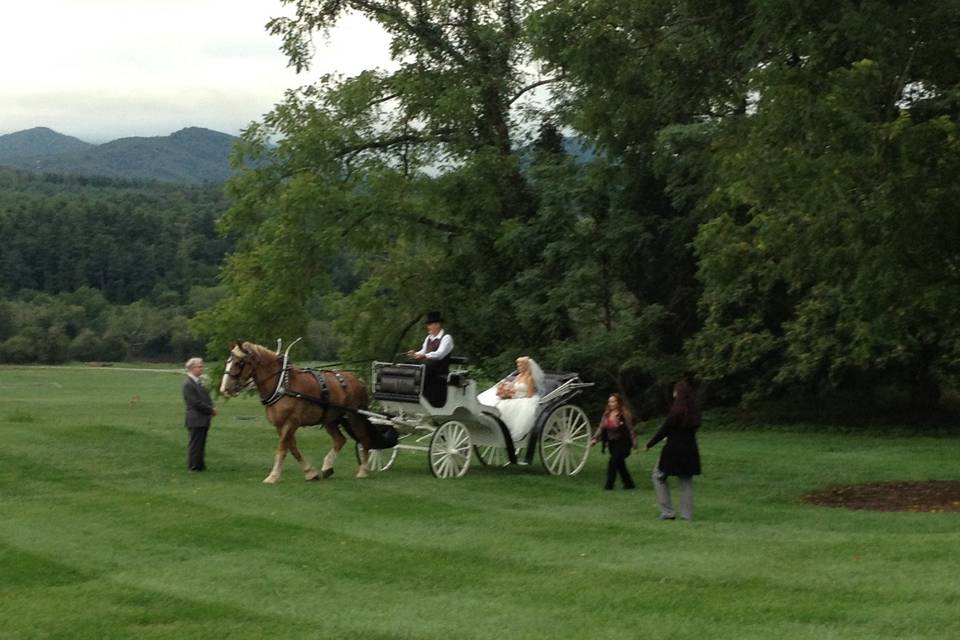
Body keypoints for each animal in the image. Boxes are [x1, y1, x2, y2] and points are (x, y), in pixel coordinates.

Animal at [219, 342, 374, 482]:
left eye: (239, 362)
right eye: (228, 361)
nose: (225, 389)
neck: (282, 385)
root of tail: (357, 379)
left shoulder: (291, 422)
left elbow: (283, 448)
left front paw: (273, 476)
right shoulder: (280, 425)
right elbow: (292, 448)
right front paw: (310, 473)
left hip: (355, 416)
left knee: (365, 439)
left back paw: (363, 470)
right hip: (331, 419)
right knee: (340, 440)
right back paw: (327, 467)